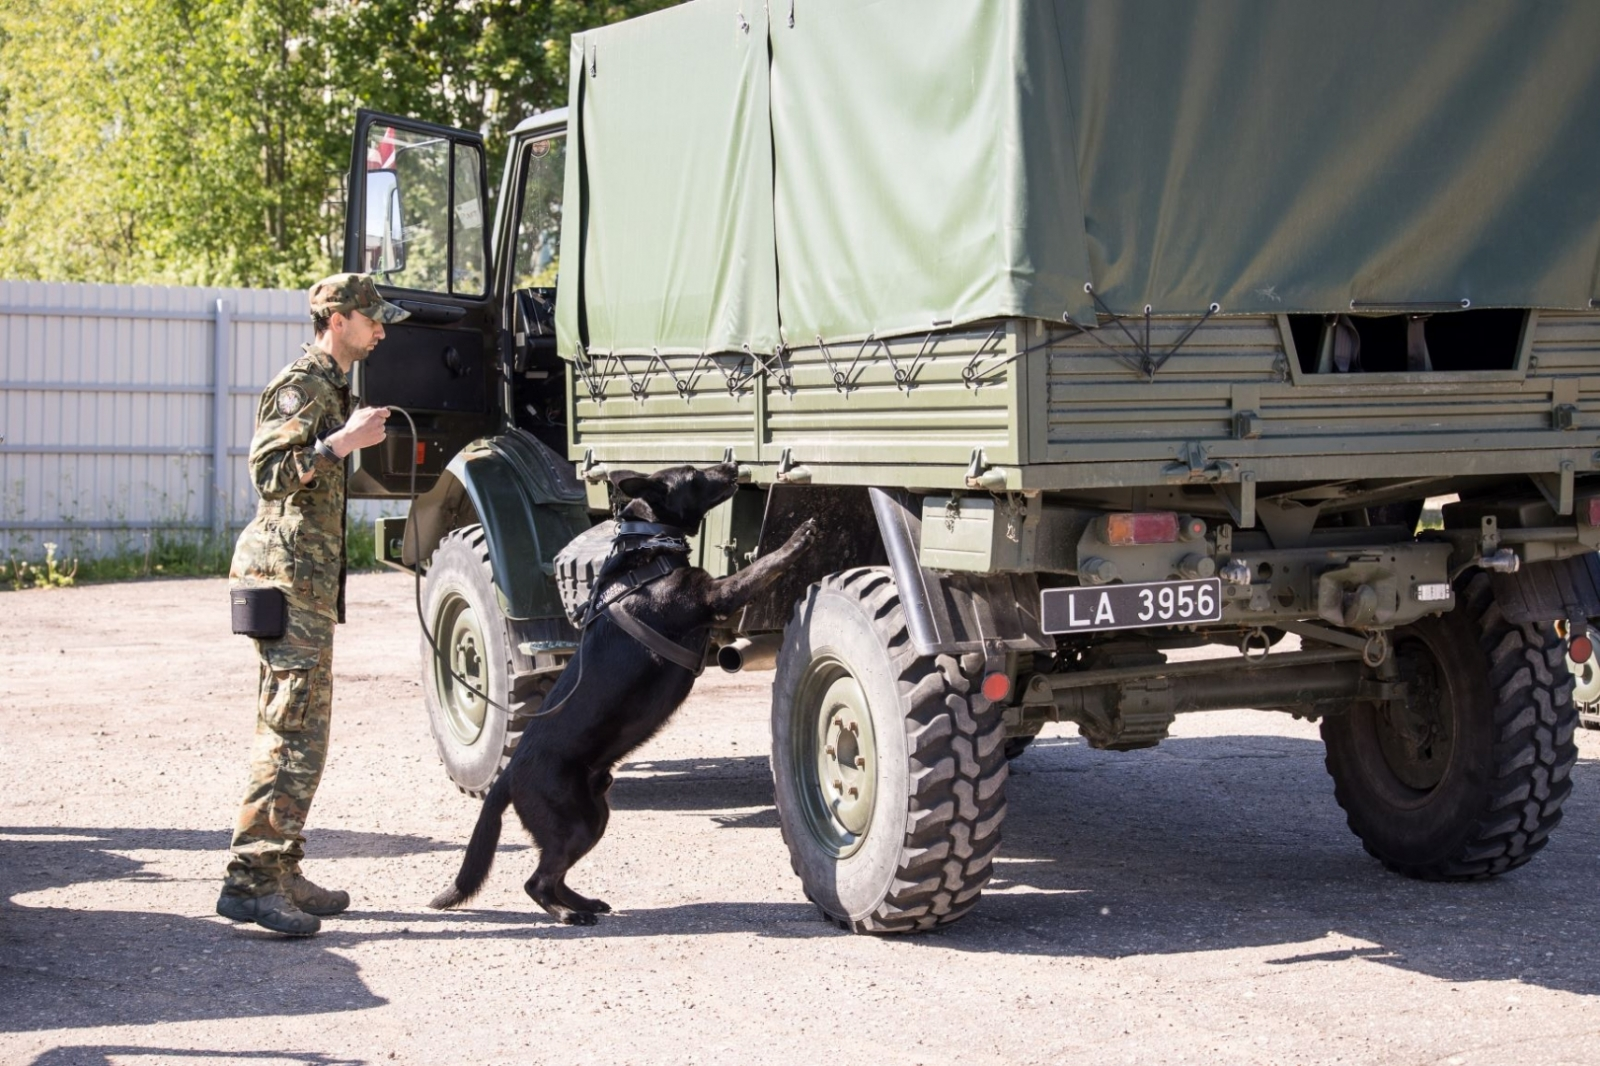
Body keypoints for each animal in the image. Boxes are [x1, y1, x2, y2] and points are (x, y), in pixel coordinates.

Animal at [432, 460, 819, 915]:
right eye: (693, 474)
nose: (732, 464)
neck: (648, 545)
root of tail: (508, 775)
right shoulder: (717, 595)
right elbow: (761, 568)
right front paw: (797, 539)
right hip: (575, 822)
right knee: (536, 881)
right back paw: (567, 914)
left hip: (595, 815)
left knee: (554, 875)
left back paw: (584, 904)